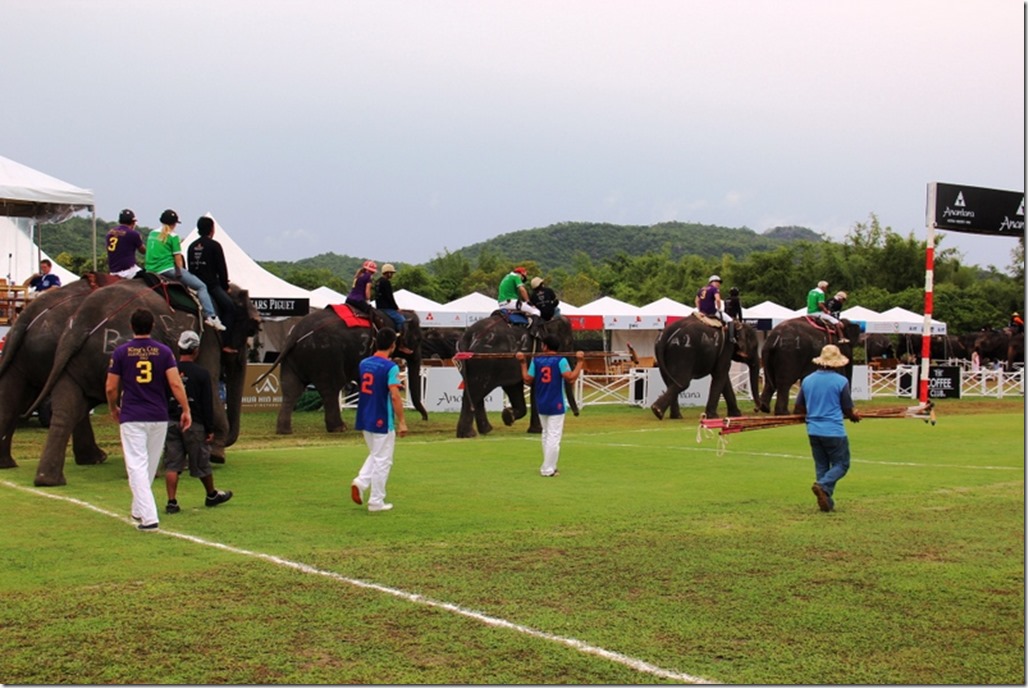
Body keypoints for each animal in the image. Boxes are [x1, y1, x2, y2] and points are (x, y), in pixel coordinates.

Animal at [25, 275, 261, 485]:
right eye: (253, 327)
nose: (247, 354)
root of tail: (83, 323)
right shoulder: (207, 340)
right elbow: (208, 381)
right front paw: (216, 454)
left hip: (76, 364)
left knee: (67, 409)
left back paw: (48, 480)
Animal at [265, 306, 429, 433]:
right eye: (418, 339)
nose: (424, 418)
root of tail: (296, 335)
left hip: (292, 359)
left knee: (291, 389)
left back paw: (284, 431)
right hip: (326, 356)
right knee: (330, 389)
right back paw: (339, 428)